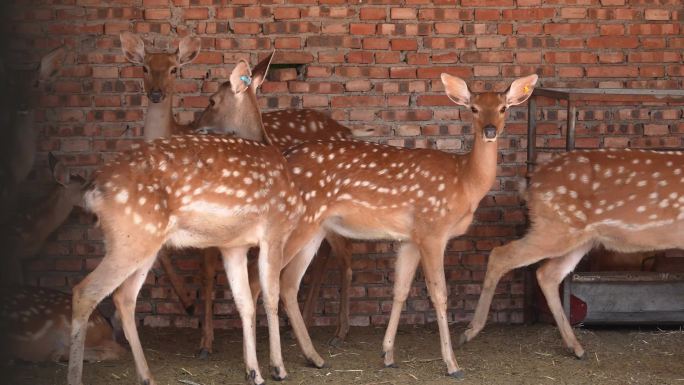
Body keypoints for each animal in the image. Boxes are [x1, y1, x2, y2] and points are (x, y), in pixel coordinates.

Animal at [67, 58, 324, 384]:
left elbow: (245, 301)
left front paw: (254, 371)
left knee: (123, 296)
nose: (195, 124)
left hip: (141, 242)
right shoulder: (274, 231)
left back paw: (147, 376)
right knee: (85, 292)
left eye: (212, 100)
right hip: (132, 237)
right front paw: (278, 368)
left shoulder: (235, 245)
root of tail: (93, 191)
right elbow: (270, 296)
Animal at [240, 73, 536, 378]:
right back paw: (270, 367)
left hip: (316, 228)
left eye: (503, 108)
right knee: (260, 280)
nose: (490, 130)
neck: (464, 181)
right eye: (474, 109)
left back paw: (314, 357)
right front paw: (452, 364)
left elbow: (400, 290)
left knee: (288, 283)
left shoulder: (410, 238)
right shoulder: (432, 229)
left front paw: (387, 354)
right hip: (293, 224)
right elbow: (439, 294)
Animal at [460, 146, 684, 356]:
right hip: (557, 227)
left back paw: (575, 347)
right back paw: (470, 331)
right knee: (500, 255)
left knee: (547, 273)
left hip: (578, 237)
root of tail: (531, 182)